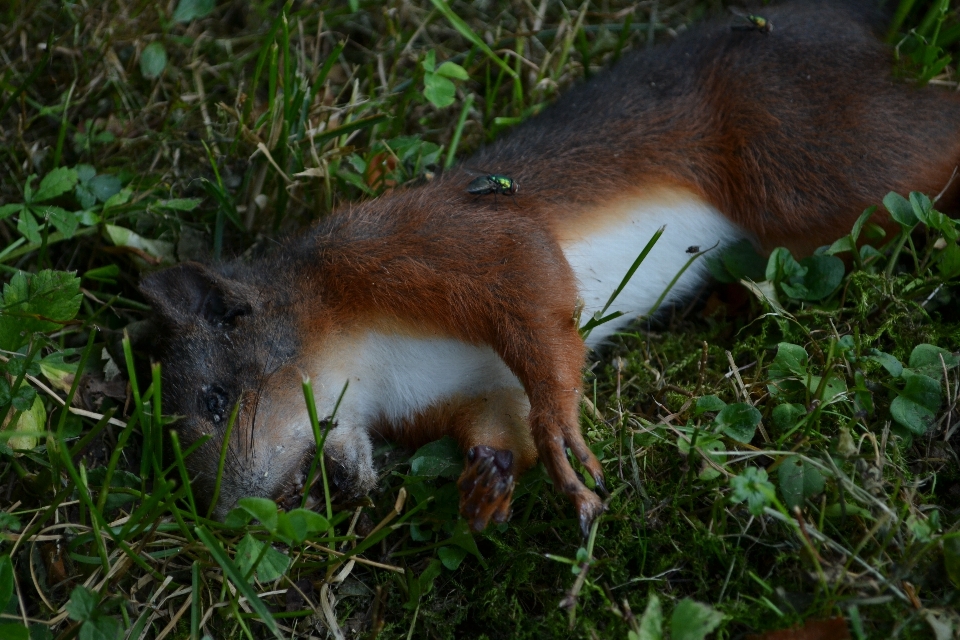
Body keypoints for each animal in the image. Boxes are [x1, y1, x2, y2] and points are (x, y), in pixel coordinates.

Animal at [141, 1, 960, 536]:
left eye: (215, 399)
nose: (229, 519)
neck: (366, 362)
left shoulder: (410, 243)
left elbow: (530, 289)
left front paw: (564, 433)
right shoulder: (462, 389)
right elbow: (501, 420)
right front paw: (486, 485)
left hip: (813, 157)